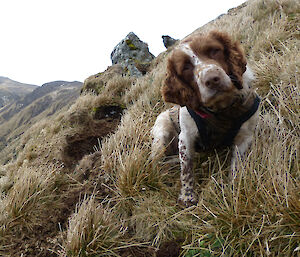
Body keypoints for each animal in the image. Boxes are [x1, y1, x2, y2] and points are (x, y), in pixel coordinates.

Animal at [152, 30, 260, 206]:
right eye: (186, 67)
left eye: (214, 50)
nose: (212, 79)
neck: (222, 109)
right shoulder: (185, 137)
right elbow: (186, 169)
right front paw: (187, 196)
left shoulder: (245, 137)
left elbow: (236, 165)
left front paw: (233, 189)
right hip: (161, 136)